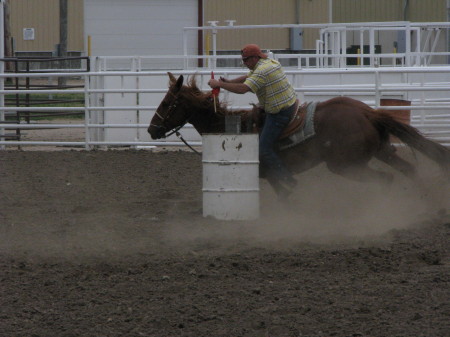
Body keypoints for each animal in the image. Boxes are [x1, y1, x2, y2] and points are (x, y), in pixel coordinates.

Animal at [149, 72, 450, 196]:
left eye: (166, 103)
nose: (152, 130)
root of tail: (367, 112)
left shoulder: (272, 174)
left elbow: (287, 195)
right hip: (381, 150)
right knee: (408, 169)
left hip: (346, 164)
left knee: (385, 179)